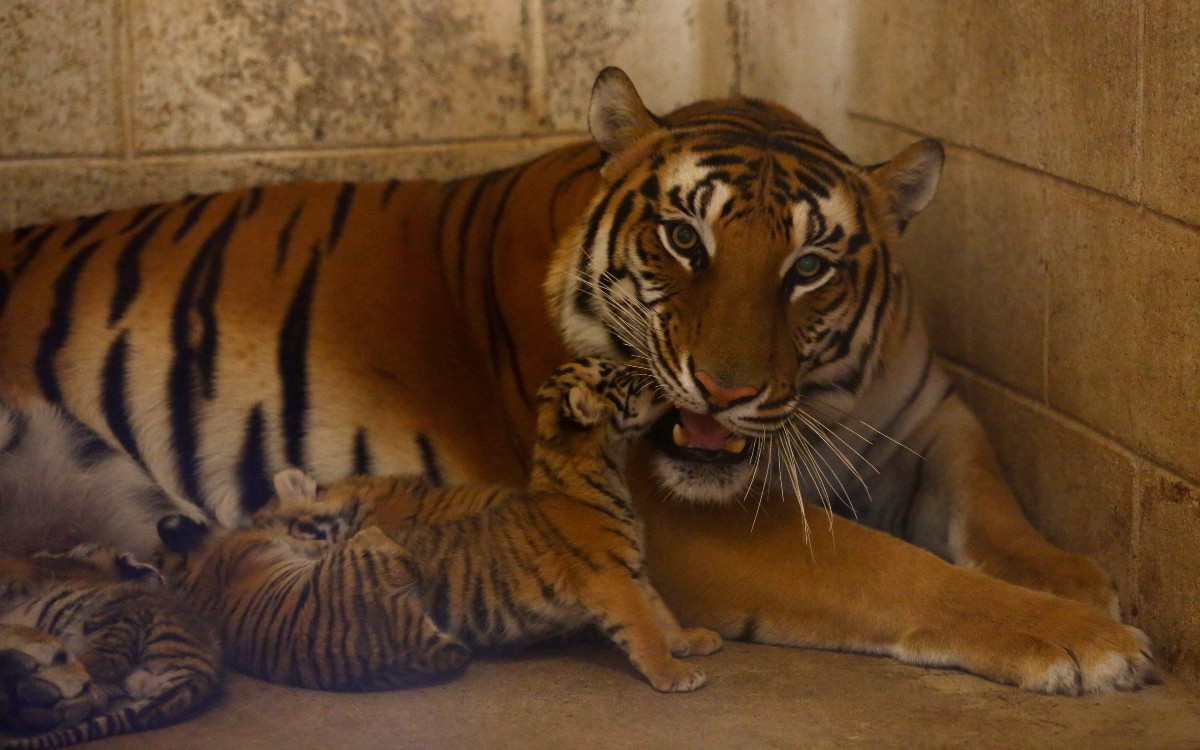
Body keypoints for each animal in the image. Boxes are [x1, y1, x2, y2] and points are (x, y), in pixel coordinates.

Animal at [0, 67, 1152, 691]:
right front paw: (1090, 640)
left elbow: (988, 502)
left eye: (810, 267)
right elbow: (899, 572)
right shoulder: (683, 520)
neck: (833, 399)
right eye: (684, 238)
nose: (724, 390)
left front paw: (1074, 578)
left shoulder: (930, 413)